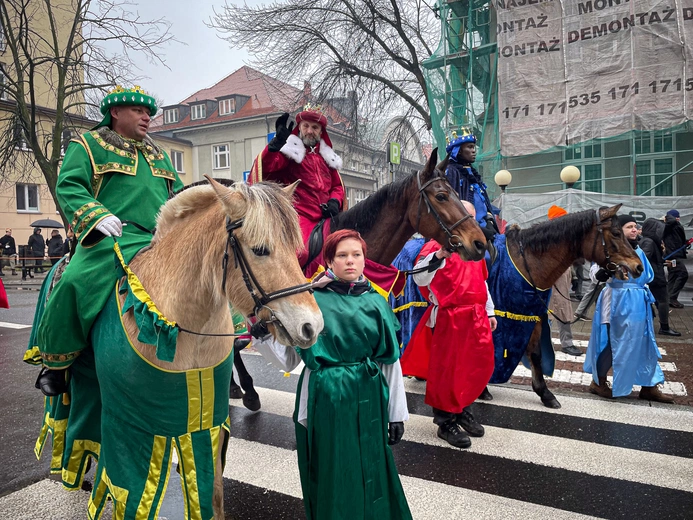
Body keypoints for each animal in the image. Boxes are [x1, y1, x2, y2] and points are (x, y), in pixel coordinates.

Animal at [486, 202, 644, 406]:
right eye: (616, 233)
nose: (638, 267)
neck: (526, 262)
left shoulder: (532, 315)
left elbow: (535, 353)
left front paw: (545, 393)